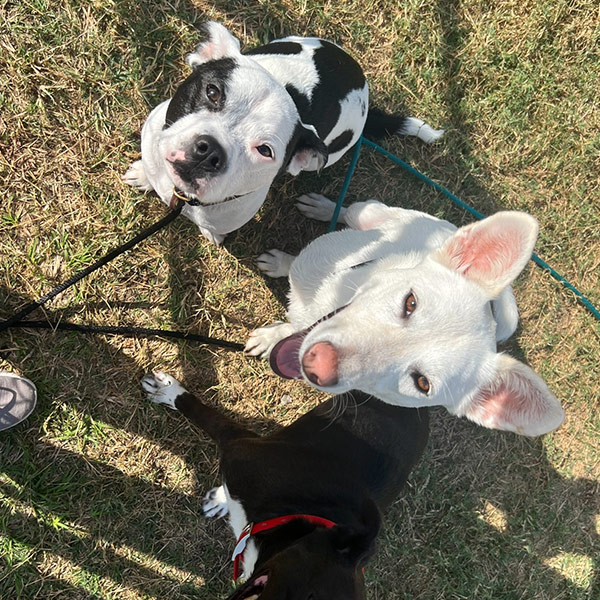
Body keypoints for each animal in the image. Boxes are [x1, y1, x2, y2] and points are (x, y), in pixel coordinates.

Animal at [123, 22, 440, 244]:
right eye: (212, 92)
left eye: (265, 150)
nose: (210, 150)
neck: (181, 194)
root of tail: (361, 84)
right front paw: (144, 175)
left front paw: (211, 232)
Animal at [245, 193, 564, 436]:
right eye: (410, 302)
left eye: (421, 383)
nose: (317, 364)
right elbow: (293, 274)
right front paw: (281, 267)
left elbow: (291, 329)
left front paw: (272, 337)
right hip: (370, 213)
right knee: (352, 211)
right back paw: (324, 207)